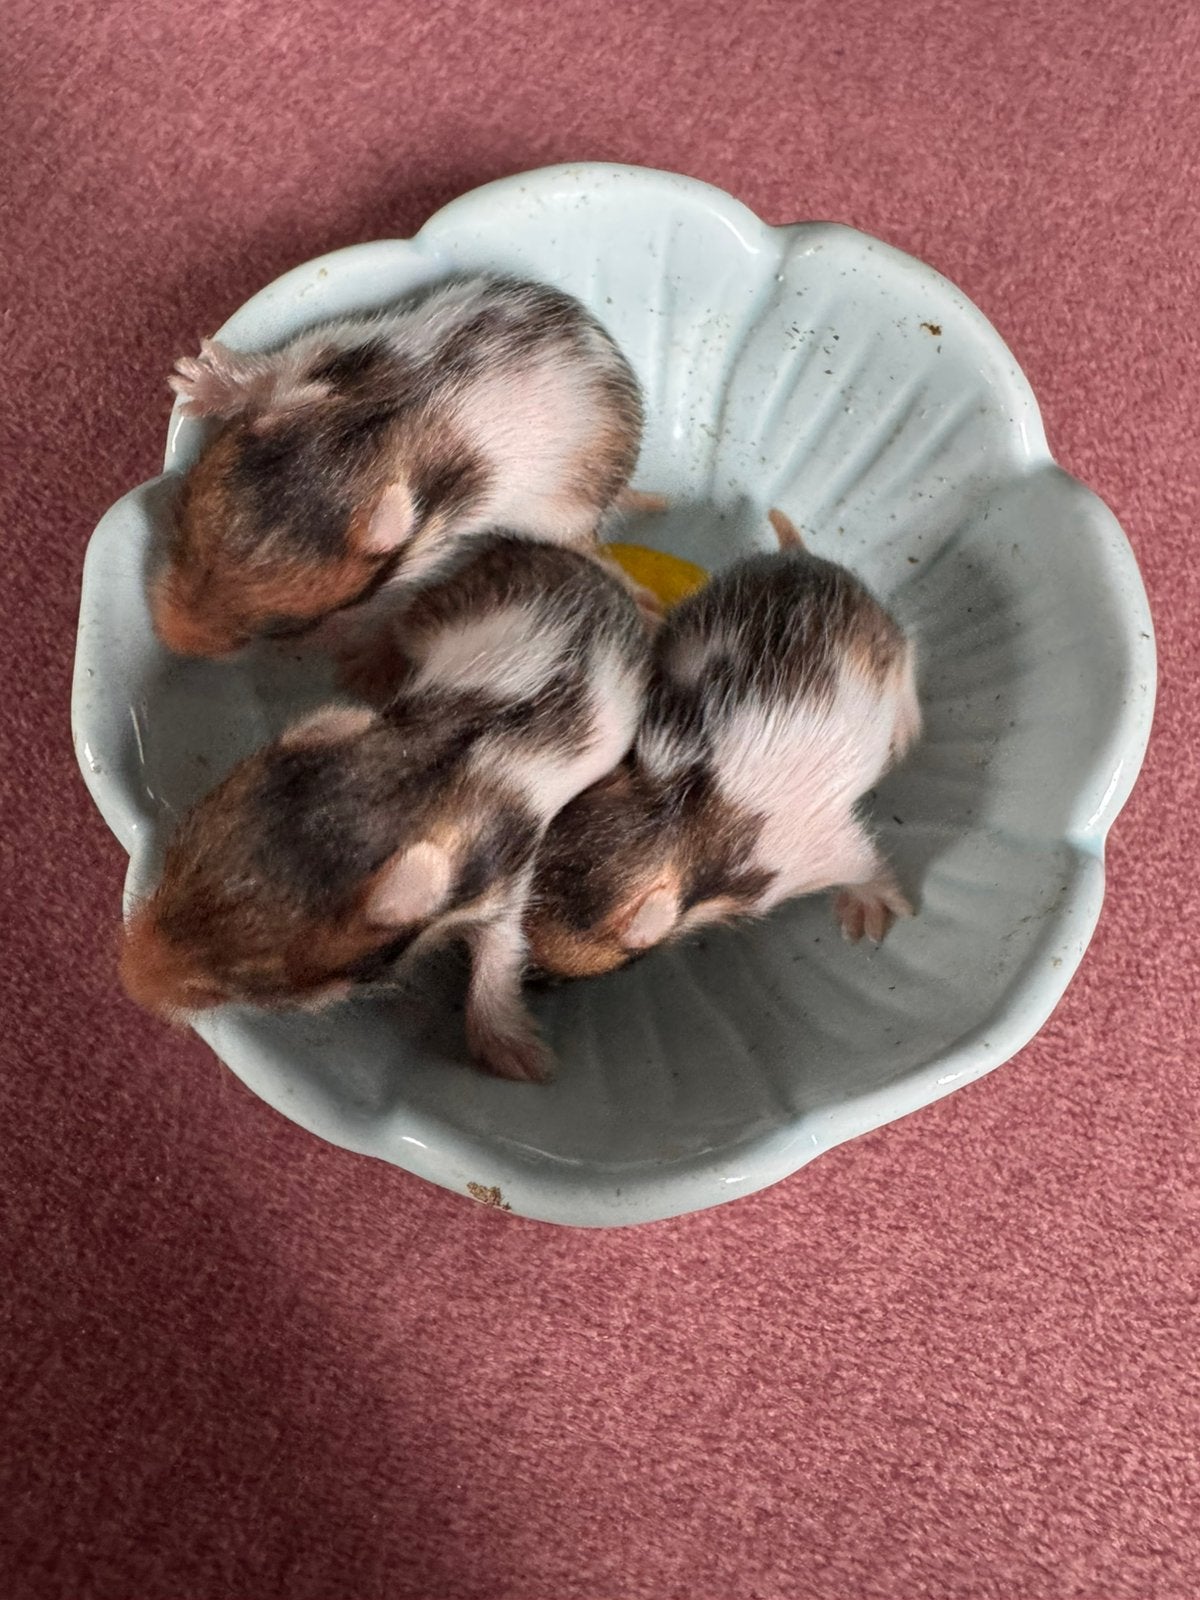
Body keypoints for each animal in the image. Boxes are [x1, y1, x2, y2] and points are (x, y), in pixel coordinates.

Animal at [121, 535, 650, 1081]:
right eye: (173, 859)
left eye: (258, 987)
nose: (127, 983)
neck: (418, 777)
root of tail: (591, 566)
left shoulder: (505, 889)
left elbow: (500, 958)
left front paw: (520, 1057)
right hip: (447, 603)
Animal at [155, 275, 651, 657]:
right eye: (178, 518)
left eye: (286, 626)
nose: (172, 641)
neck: (363, 446)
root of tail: (616, 360)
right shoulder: (314, 355)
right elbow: (264, 377)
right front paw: (191, 379)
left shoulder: (430, 551)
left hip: (564, 512)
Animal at [525, 510, 921, 978]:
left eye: (541, 975)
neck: (670, 828)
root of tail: (800, 558)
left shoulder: (827, 854)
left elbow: (868, 869)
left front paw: (872, 912)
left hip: (881, 643)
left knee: (907, 653)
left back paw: (906, 731)